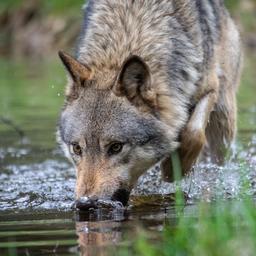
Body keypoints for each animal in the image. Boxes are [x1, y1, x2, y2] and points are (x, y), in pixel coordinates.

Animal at [57, 0, 242, 207]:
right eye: (77, 148)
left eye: (116, 147)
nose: (85, 203)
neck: (129, 30)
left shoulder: (209, 87)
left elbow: (193, 132)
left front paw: (173, 169)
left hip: (223, 120)